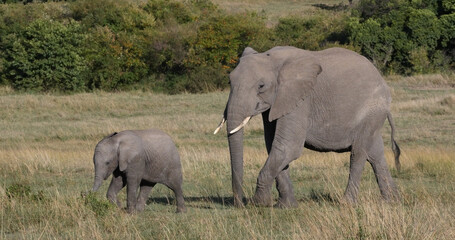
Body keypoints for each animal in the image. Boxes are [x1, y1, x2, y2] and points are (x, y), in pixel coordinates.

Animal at [216, 46, 400, 207]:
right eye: (229, 81)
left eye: (261, 86)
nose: (240, 204)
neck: (273, 59)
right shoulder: (277, 102)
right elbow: (273, 146)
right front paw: (286, 206)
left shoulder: (300, 100)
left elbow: (288, 147)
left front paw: (260, 204)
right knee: (375, 154)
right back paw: (391, 201)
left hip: (372, 111)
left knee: (358, 153)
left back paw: (347, 203)